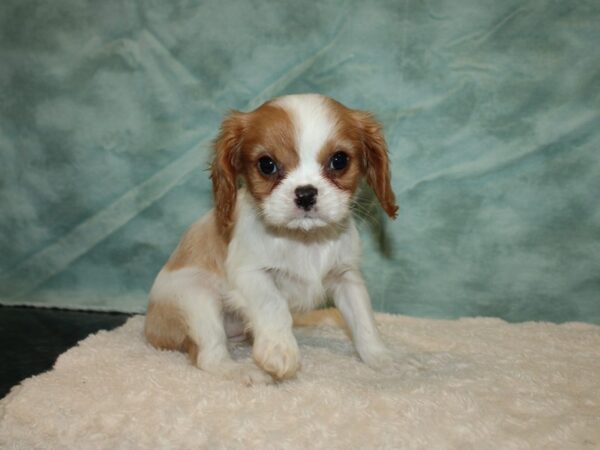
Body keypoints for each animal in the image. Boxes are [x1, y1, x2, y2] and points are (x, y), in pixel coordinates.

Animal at [145, 93, 398, 384]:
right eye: (267, 165)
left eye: (339, 160)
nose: (305, 193)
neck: (304, 240)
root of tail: (149, 327)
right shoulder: (250, 273)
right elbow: (273, 305)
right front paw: (280, 351)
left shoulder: (346, 277)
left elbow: (363, 318)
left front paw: (382, 359)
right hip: (196, 298)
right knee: (209, 355)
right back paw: (244, 371)